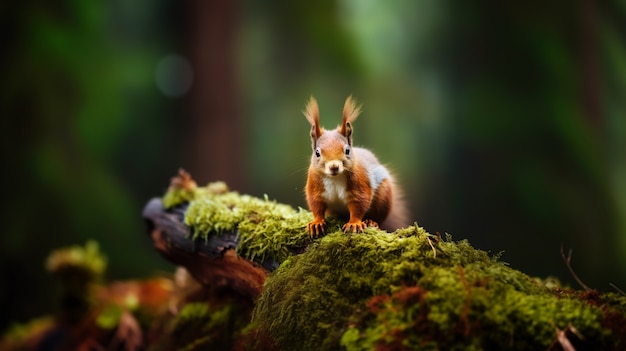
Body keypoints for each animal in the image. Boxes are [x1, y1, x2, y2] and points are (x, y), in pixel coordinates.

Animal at [304, 95, 410, 236]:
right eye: (317, 153)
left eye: (347, 150)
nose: (334, 167)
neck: (334, 178)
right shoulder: (315, 186)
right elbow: (316, 205)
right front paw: (316, 223)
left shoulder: (360, 184)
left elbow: (359, 205)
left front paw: (354, 223)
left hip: (384, 195)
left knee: (379, 217)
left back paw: (372, 221)